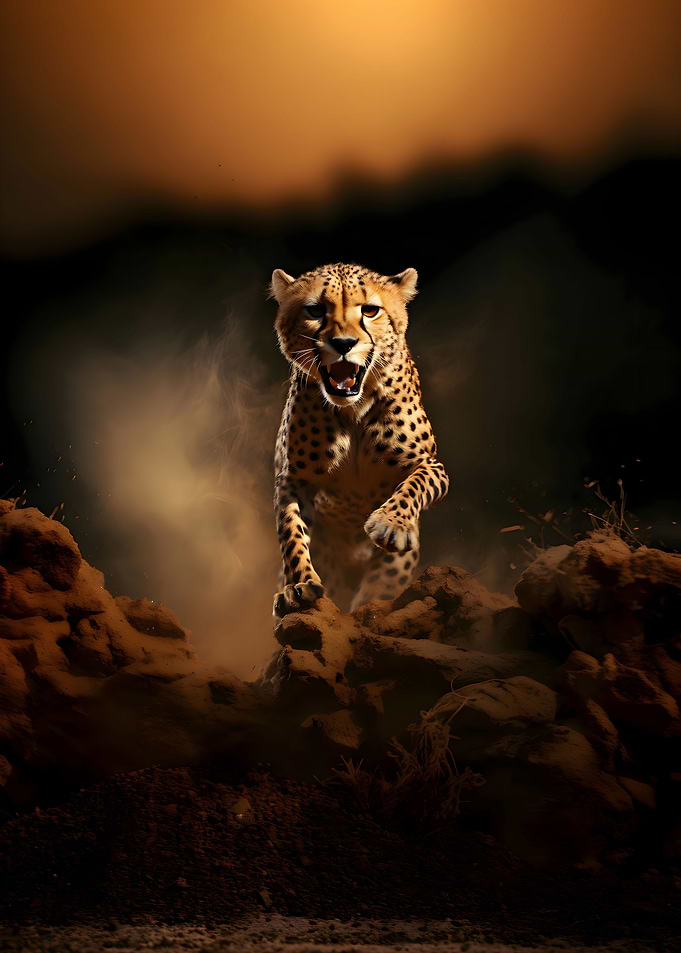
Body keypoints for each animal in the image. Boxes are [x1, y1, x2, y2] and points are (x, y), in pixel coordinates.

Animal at [270, 261, 449, 617]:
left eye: (369, 310)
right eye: (315, 310)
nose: (344, 343)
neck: (352, 409)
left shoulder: (431, 465)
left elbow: (415, 484)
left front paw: (391, 524)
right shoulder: (292, 479)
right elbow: (292, 532)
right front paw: (299, 586)